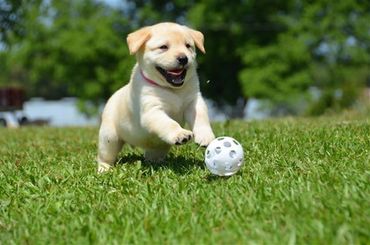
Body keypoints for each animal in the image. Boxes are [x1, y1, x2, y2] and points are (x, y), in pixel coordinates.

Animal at [97, 22, 215, 172]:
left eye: (188, 46)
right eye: (163, 47)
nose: (183, 58)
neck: (173, 90)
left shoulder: (194, 102)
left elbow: (201, 117)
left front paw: (206, 136)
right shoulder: (152, 111)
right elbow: (169, 123)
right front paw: (180, 134)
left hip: (158, 146)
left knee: (153, 154)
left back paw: (157, 163)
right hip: (109, 137)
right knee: (105, 156)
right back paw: (104, 169)